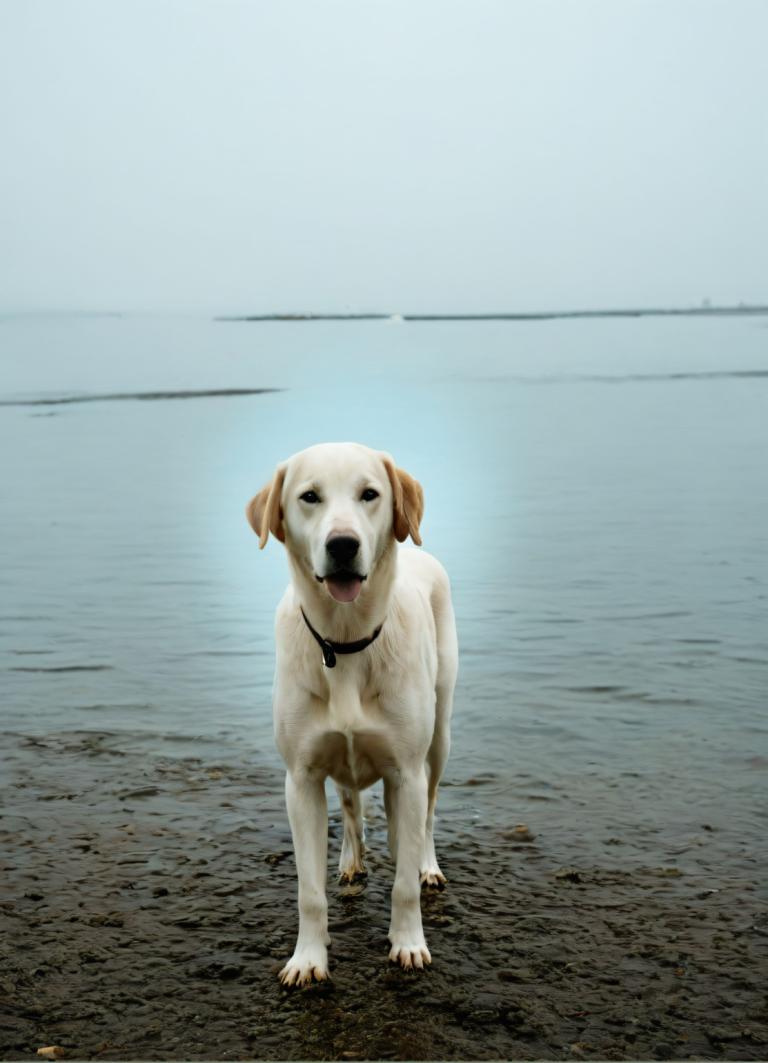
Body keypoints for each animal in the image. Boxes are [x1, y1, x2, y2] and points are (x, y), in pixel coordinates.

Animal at [247, 435, 457, 982]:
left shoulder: (406, 771)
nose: (343, 544)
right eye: (309, 497)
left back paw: (426, 864)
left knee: (427, 814)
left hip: (439, 738)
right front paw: (308, 959)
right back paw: (349, 860)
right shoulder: (299, 779)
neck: (344, 642)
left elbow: (402, 881)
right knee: (349, 804)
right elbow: (309, 891)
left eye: (369, 494)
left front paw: (408, 943)